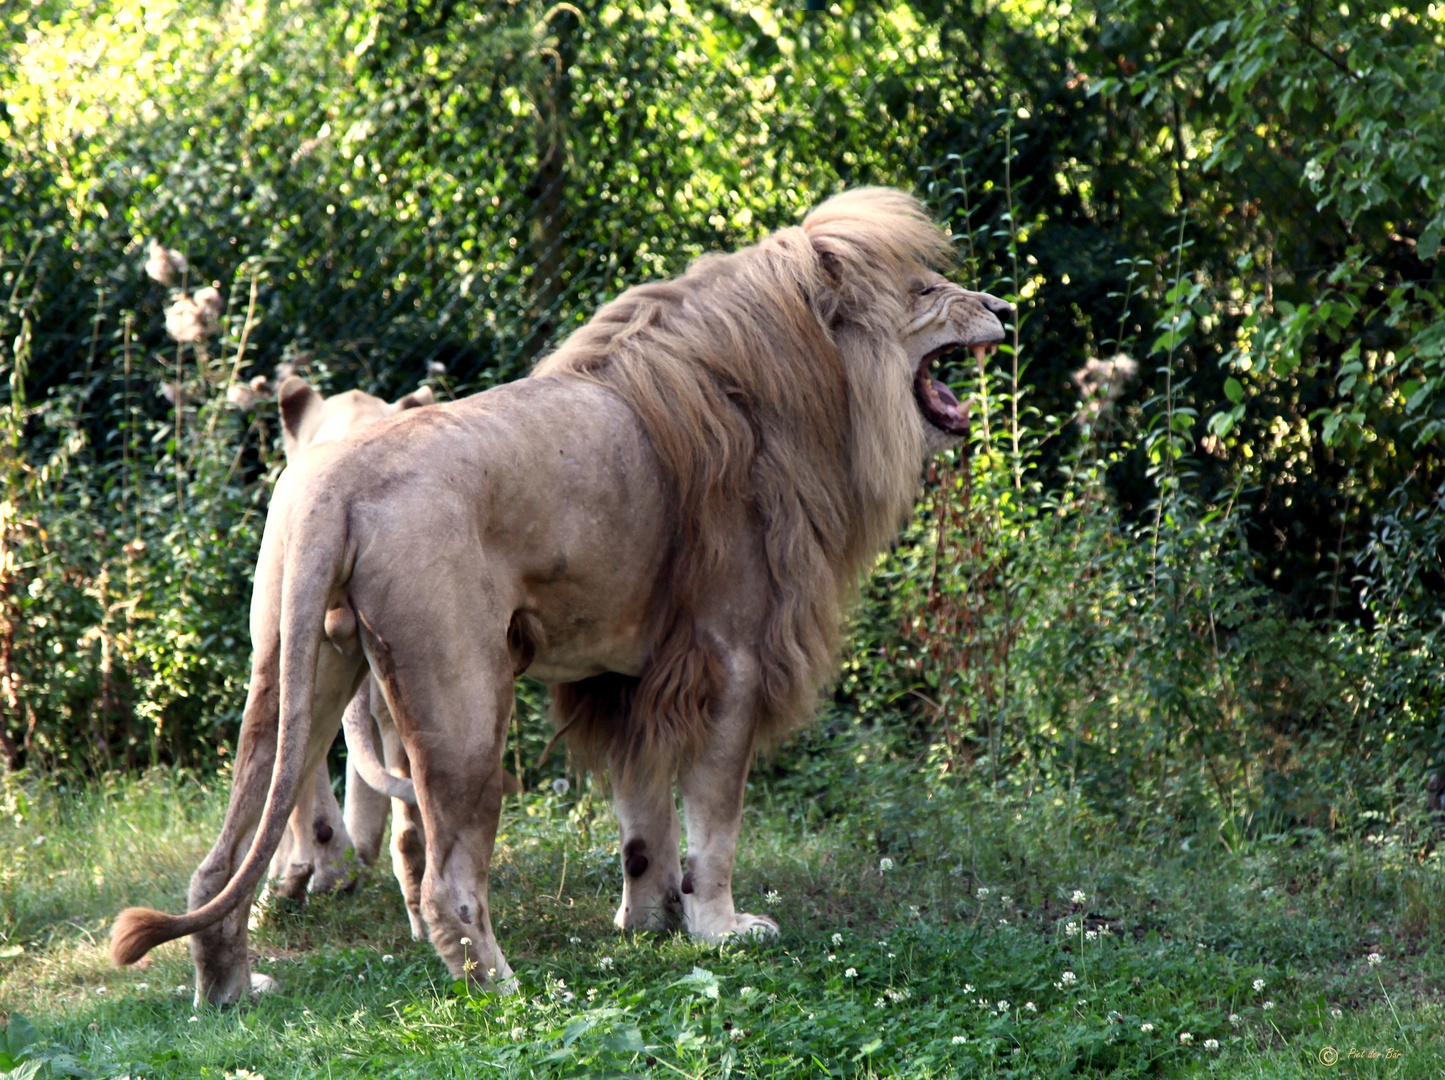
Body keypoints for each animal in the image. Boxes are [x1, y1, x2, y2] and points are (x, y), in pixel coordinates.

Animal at [112, 187, 1011, 1006]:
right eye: (925, 290)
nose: (1003, 307)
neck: (795, 395)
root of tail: (337, 476)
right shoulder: (729, 658)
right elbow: (713, 819)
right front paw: (719, 929)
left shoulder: (630, 674)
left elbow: (642, 818)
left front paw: (648, 921)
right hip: (463, 701)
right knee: (445, 879)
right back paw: (509, 993)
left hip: (296, 672)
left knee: (222, 863)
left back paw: (232, 991)